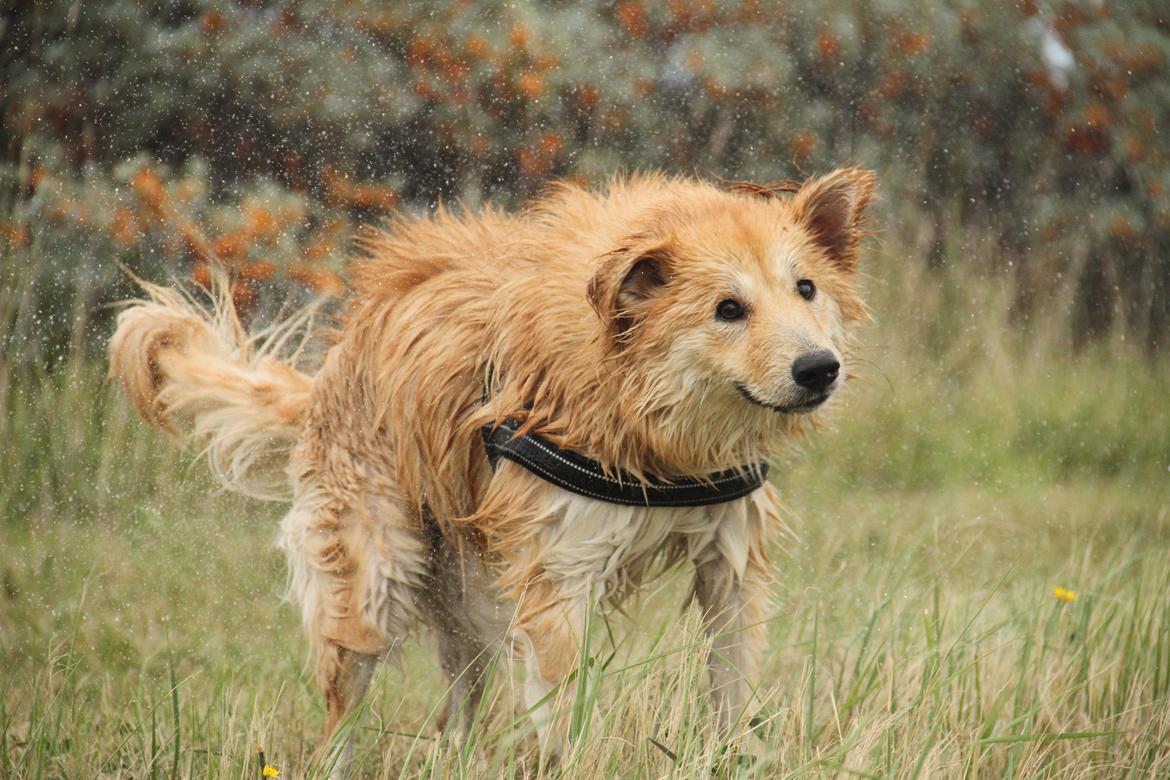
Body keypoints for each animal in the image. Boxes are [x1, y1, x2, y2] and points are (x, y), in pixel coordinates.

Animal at [109, 168, 875, 771]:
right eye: (727, 308)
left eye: (805, 288)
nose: (819, 368)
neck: (656, 434)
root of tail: (333, 368)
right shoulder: (559, 577)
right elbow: (566, 716)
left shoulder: (730, 560)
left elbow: (732, 687)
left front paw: (735, 757)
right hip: (373, 583)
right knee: (344, 710)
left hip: (470, 598)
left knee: (458, 708)